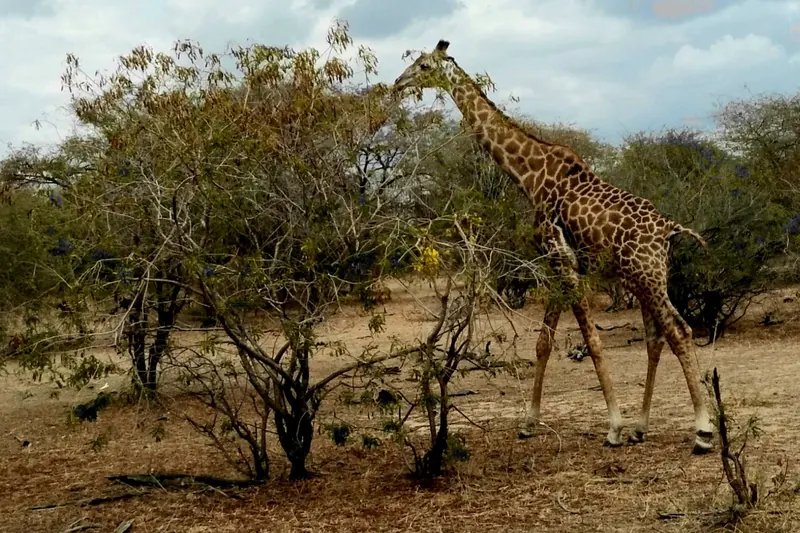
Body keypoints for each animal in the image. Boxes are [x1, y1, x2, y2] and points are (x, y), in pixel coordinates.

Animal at [392, 40, 714, 454]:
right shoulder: (554, 265)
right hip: (644, 277)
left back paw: (702, 432)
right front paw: (529, 423)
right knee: (657, 337)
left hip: (644, 273)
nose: (398, 82)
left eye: (424, 65)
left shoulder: (563, 259)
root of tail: (669, 230)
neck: (529, 175)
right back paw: (643, 427)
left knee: (679, 331)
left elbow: (592, 340)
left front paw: (613, 428)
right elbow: (544, 343)